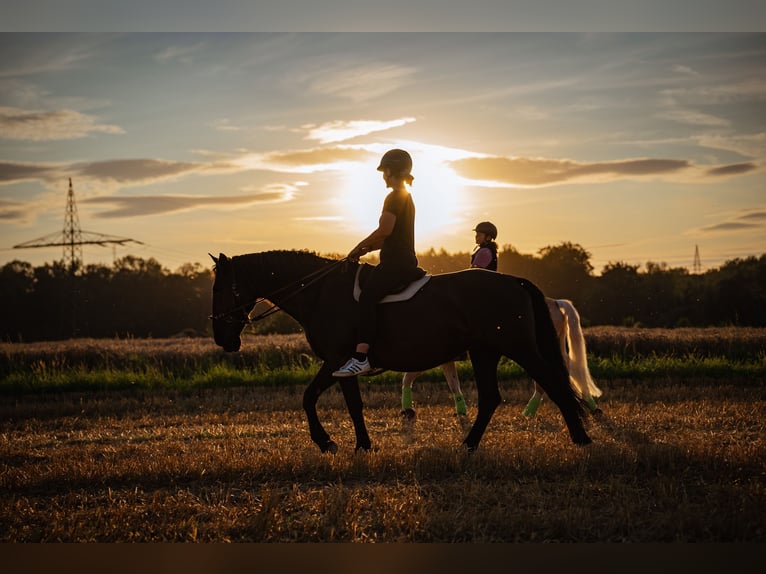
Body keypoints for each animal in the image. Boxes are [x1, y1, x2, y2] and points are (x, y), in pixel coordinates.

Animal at [212, 251, 592, 454]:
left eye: (221, 289)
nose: (221, 338)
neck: (319, 293)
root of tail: (516, 281)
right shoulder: (342, 365)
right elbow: (351, 404)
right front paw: (362, 445)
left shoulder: (336, 360)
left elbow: (312, 398)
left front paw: (328, 443)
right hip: (484, 351)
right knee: (491, 398)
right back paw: (468, 445)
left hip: (518, 346)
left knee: (553, 382)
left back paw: (582, 438)